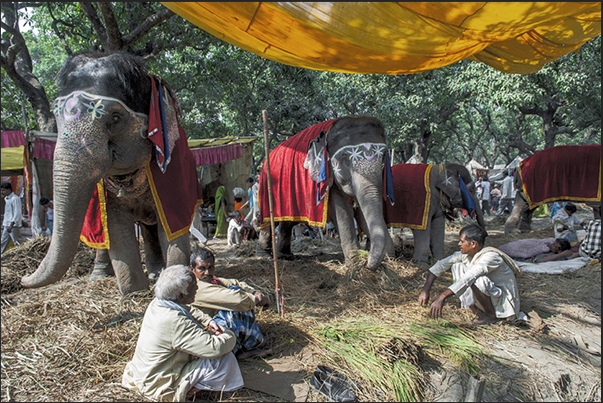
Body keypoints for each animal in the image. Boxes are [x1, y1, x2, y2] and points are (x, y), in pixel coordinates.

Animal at [21, 52, 202, 296]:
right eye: (56, 119)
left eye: (116, 118)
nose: (23, 278)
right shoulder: (107, 193)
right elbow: (116, 227)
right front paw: (135, 293)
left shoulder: (174, 173)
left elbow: (173, 224)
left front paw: (171, 279)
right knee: (106, 234)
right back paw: (101, 276)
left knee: (150, 228)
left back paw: (155, 273)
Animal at [256, 117, 394, 272]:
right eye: (344, 156)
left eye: (384, 155)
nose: (369, 263)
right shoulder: (329, 178)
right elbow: (341, 210)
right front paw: (355, 261)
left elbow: (361, 211)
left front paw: (388, 256)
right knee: (270, 219)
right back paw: (264, 255)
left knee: (287, 222)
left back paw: (286, 256)